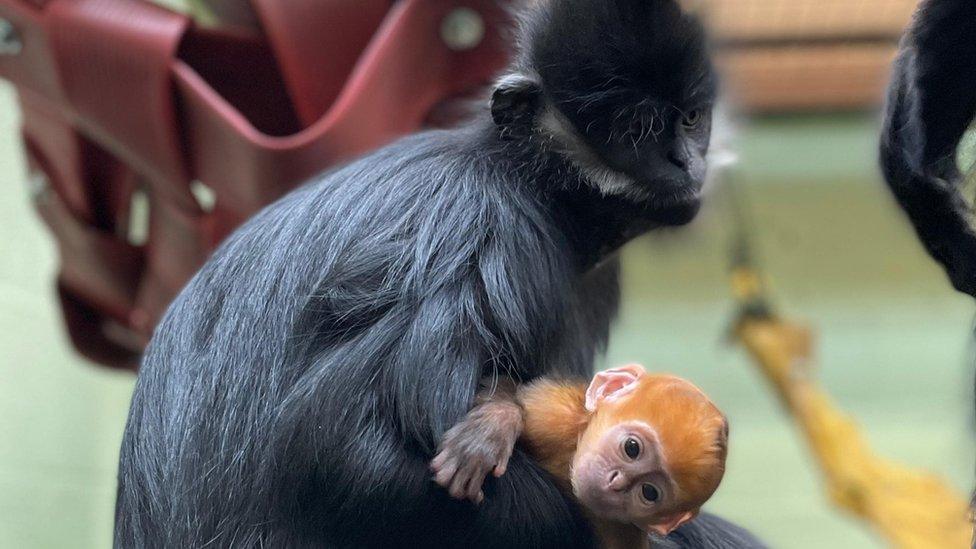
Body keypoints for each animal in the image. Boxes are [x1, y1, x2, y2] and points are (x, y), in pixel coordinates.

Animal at [430, 364, 728, 548]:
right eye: (632, 448)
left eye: (649, 492)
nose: (616, 482)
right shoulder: (552, 412)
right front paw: (492, 428)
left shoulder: (623, 535)